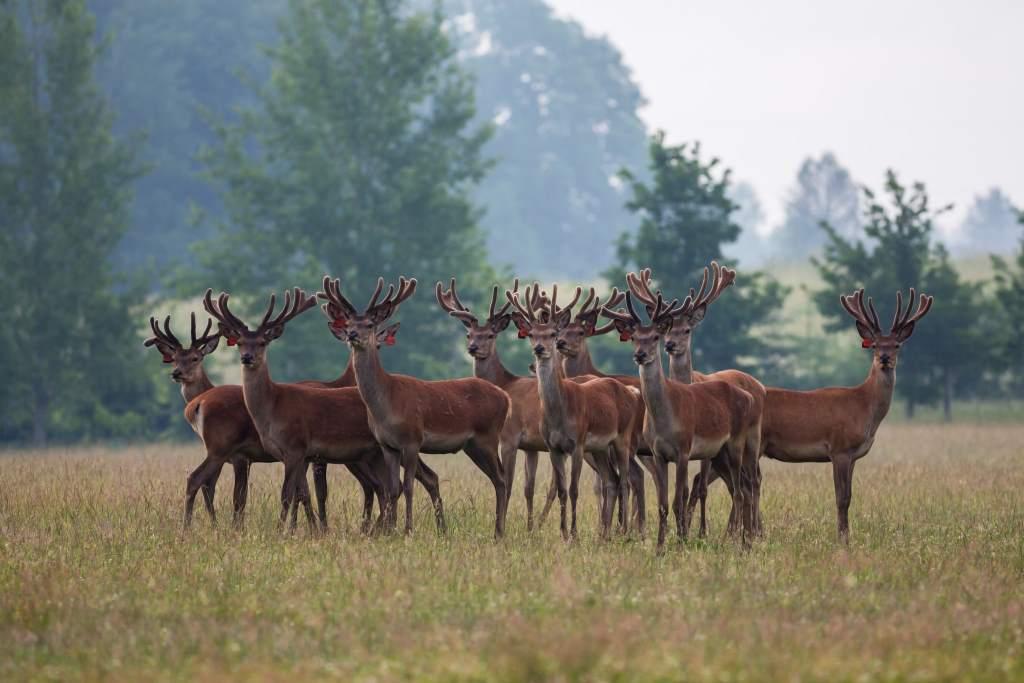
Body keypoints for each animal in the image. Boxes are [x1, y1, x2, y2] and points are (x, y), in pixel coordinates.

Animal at [204, 286, 448, 536]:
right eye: (240, 342)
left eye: (263, 342)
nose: (246, 357)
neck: (273, 410)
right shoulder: (298, 454)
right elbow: (301, 492)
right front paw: (299, 529)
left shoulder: (296, 446)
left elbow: (287, 494)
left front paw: (284, 531)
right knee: (397, 483)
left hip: (392, 446)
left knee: (403, 482)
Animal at [319, 274, 512, 536]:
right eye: (348, 323)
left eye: (369, 324)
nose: (352, 335)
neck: (387, 404)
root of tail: (506, 397)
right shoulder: (387, 445)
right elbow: (392, 488)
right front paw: (390, 530)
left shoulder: (412, 440)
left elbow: (409, 485)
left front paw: (408, 529)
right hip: (472, 445)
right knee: (496, 478)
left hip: (488, 437)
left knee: (501, 479)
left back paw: (499, 532)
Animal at [503, 282, 638, 540]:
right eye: (532, 334)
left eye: (553, 334)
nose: (540, 348)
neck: (560, 413)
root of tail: (631, 392)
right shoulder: (553, 447)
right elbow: (562, 490)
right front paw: (564, 532)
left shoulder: (577, 443)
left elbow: (574, 489)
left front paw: (574, 535)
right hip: (599, 448)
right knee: (612, 480)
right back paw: (606, 534)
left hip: (622, 438)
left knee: (627, 481)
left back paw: (625, 531)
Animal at [598, 288, 761, 548]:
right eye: (634, 338)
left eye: (655, 336)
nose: (640, 355)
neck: (665, 420)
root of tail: (748, 395)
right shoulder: (658, 453)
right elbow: (663, 504)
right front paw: (660, 546)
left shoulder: (683, 450)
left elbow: (678, 499)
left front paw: (682, 541)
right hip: (719, 453)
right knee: (742, 489)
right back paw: (743, 538)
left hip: (738, 444)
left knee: (741, 490)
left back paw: (743, 541)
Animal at [757, 290, 933, 544]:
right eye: (875, 345)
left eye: (897, 344)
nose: (885, 358)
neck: (863, 408)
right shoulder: (839, 448)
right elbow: (841, 498)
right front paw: (842, 539)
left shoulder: (853, 456)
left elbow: (849, 496)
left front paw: (846, 536)